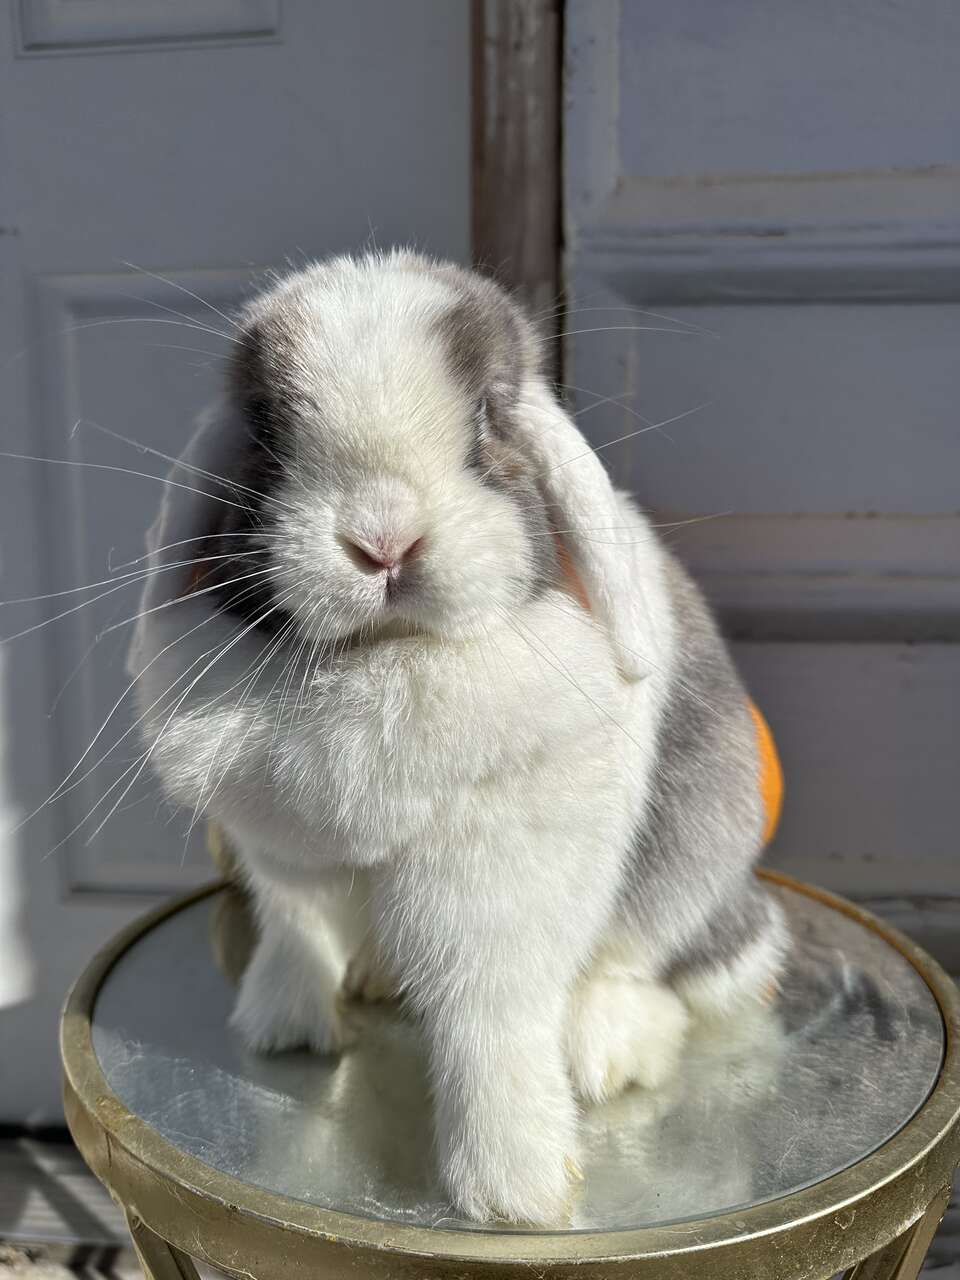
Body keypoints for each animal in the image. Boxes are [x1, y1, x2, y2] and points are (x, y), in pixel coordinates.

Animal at [128, 247, 788, 1218]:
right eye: (268, 433)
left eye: (486, 415)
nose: (383, 540)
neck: (386, 660)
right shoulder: (286, 854)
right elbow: (296, 933)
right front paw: (284, 1028)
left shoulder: (500, 880)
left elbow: (491, 1023)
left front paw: (517, 1192)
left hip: (701, 839)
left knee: (649, 961)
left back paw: (605, 1050)